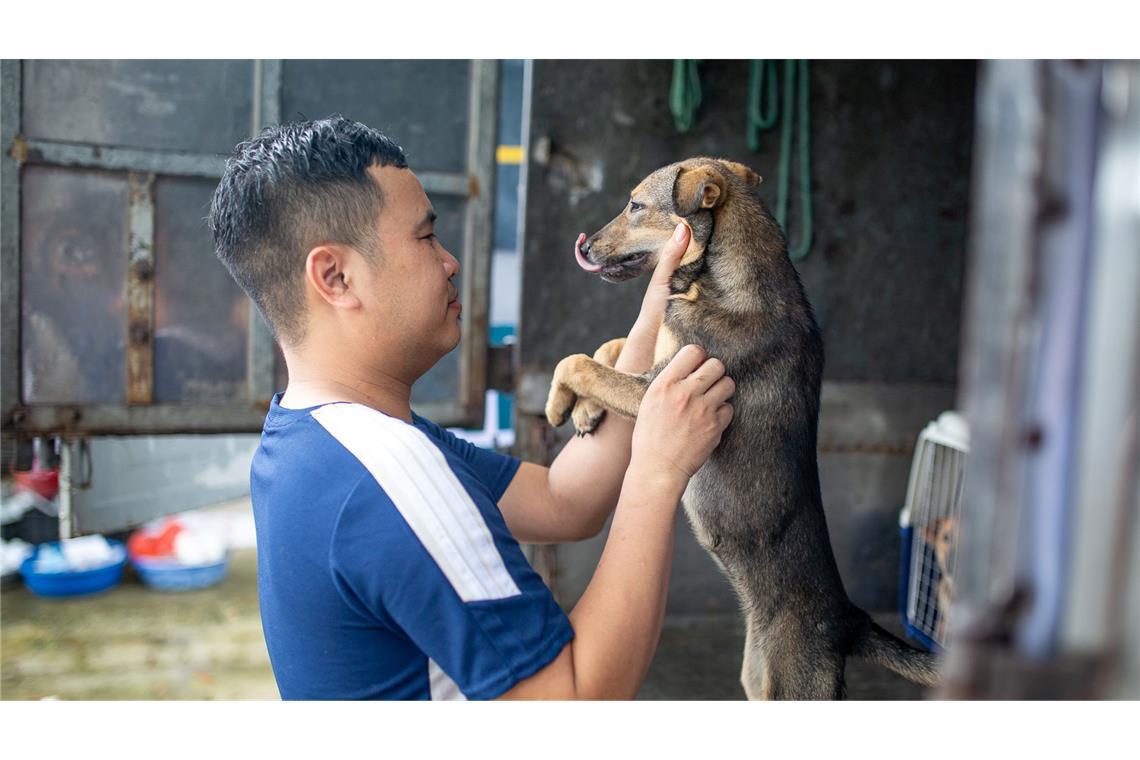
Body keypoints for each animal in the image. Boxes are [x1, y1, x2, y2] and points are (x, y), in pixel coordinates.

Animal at [547, 157, 939, 697]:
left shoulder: (658, 388)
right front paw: (581, 410)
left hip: (794, 688)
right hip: (756, 679)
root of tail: (847, 620)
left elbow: (578, 360)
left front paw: (563, 402)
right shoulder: (661, 359)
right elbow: (609, 346)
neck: (722, 280)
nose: (583, 247)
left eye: (635, 205)